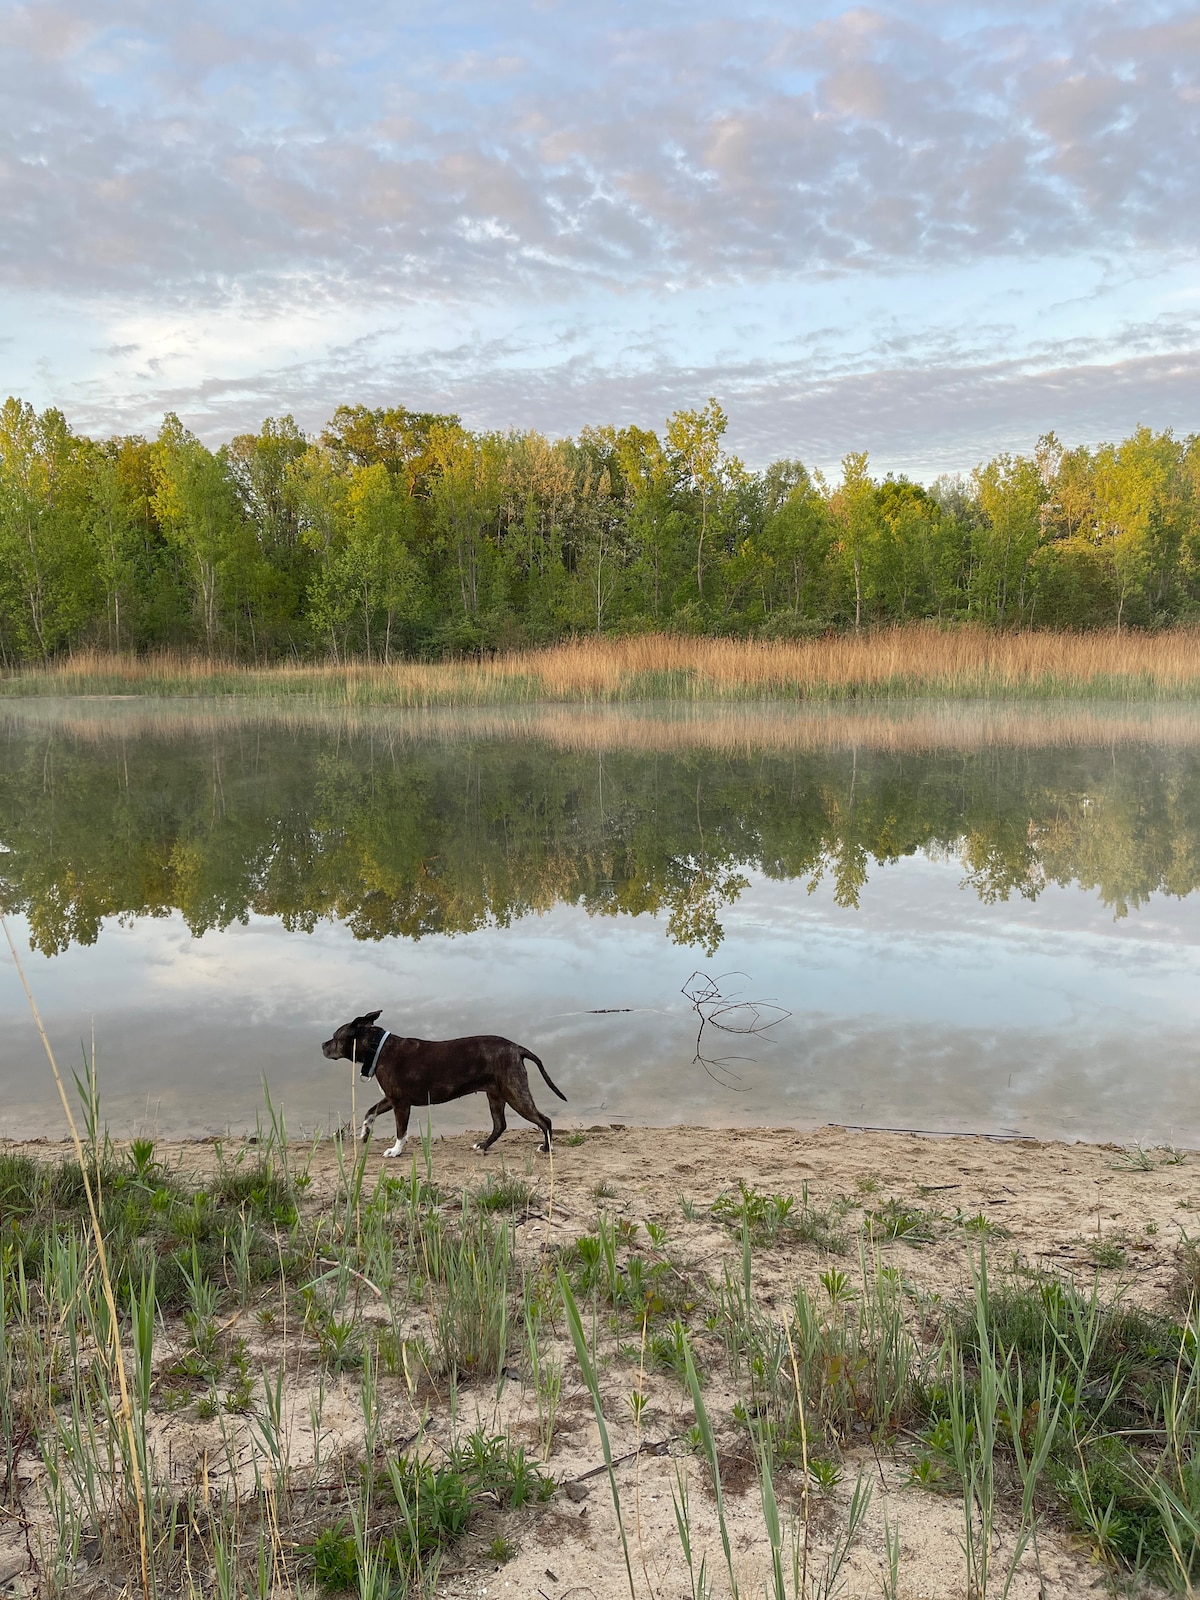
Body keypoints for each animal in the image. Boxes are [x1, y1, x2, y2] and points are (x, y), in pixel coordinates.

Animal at [321, 1004, 569, 1158]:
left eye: (334, 1037)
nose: (322, 1044)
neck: (377, 1048)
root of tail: (517, 1048)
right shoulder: (390, 1098)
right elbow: (369, 1112)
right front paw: (364, 1133)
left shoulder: (400, 1104)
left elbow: (401, 1131)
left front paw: (396, 1151)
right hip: (496, 1095)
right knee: (500, 1125)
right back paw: (483, 1145)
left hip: (515, 1093)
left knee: (544, 1120)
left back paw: (546, 1148)